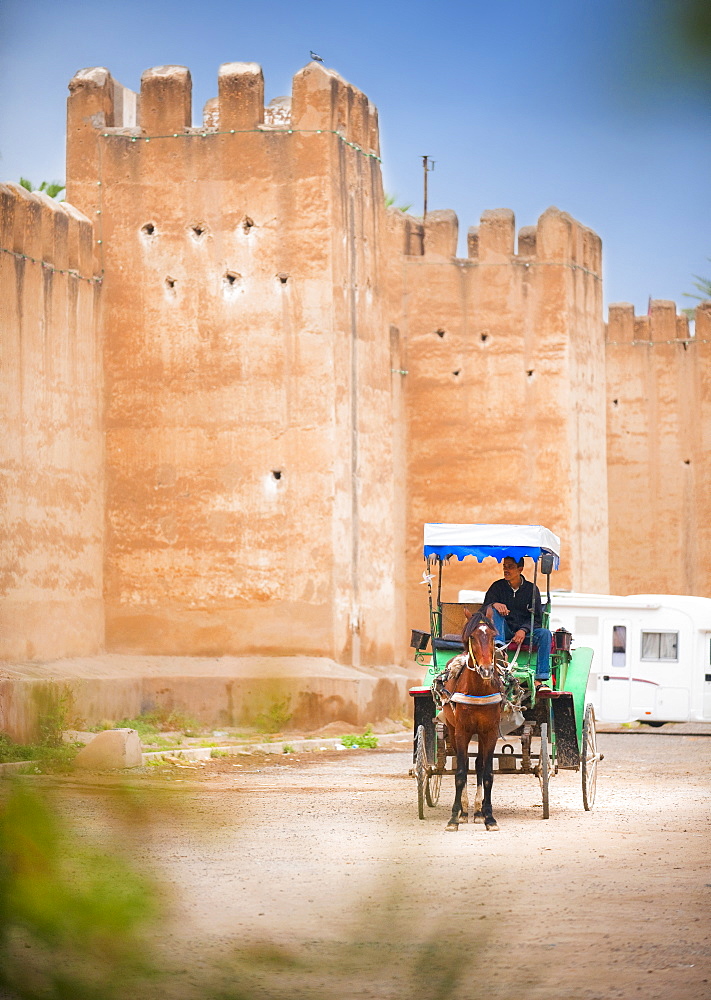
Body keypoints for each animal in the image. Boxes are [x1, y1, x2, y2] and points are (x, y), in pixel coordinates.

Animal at [440, 608, 506, 836]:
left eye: (494, 637)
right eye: (472, 637)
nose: (486, 670)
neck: (478, 689)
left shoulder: (490, 732)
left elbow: (487, 773)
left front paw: (489, 817)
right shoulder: (461, 731)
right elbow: (460, 772)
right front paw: (454, 817)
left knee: (478, 765)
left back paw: (478, 811)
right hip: (453, 730)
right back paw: (464, 811)